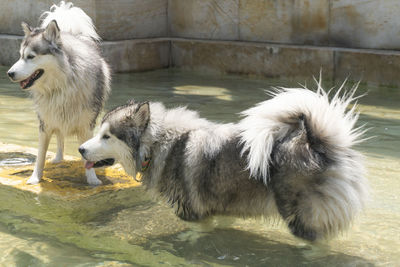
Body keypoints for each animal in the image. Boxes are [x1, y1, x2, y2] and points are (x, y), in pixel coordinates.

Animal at [7, 1, 111, 186]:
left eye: (30, 56)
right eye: (20, 56)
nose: (9, 73)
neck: (61, 85)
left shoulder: (86, 124)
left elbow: (87, 156)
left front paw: (92, 180)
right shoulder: (45, 123)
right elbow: (40, 155)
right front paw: (35, 178)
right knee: (60, 137)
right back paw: (58, 158)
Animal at [79, 84, 370, 243]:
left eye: (107, 136)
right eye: (98, 132)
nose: (81, 149)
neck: (158, 142)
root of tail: (320, 143)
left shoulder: (192, 211)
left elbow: (195, 232)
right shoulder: (222, 207)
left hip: (300, 216)